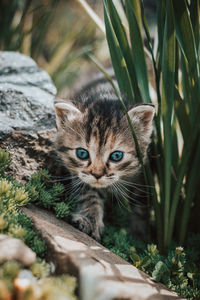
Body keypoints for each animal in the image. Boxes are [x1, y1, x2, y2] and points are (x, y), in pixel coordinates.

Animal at [54, 75, 155, 241]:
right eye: (82, 153)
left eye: (116, 156)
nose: (97, 175)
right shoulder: (81, 175)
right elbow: (88, 193)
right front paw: (90, 220)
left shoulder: (144, 173)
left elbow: (141, 202)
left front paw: (137, 233)